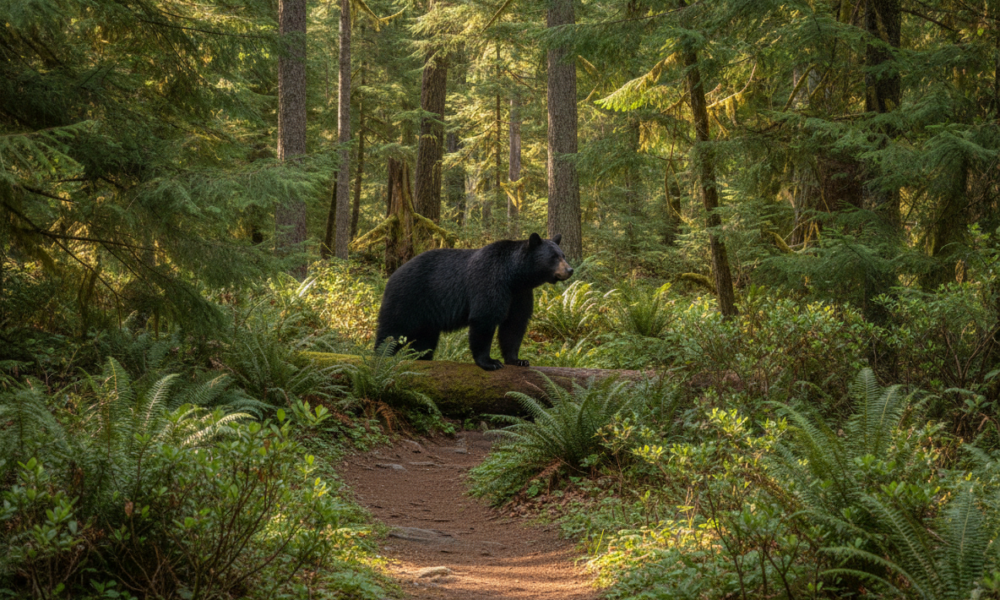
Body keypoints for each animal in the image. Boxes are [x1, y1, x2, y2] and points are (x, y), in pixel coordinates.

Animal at [374, 233, 573, 371]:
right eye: (554, 257)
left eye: (563, 255)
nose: (570, 270)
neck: (514, 276)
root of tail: (392, 275)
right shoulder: (490, 281)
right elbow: (485, 318)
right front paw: (490, 362)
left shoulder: (519, 294)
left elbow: (514, 324)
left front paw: (518, 360)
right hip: (408, 298)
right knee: (392, 330)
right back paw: (381, 356)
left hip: (427, 315)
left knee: (425, 340)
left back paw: (420, 358)